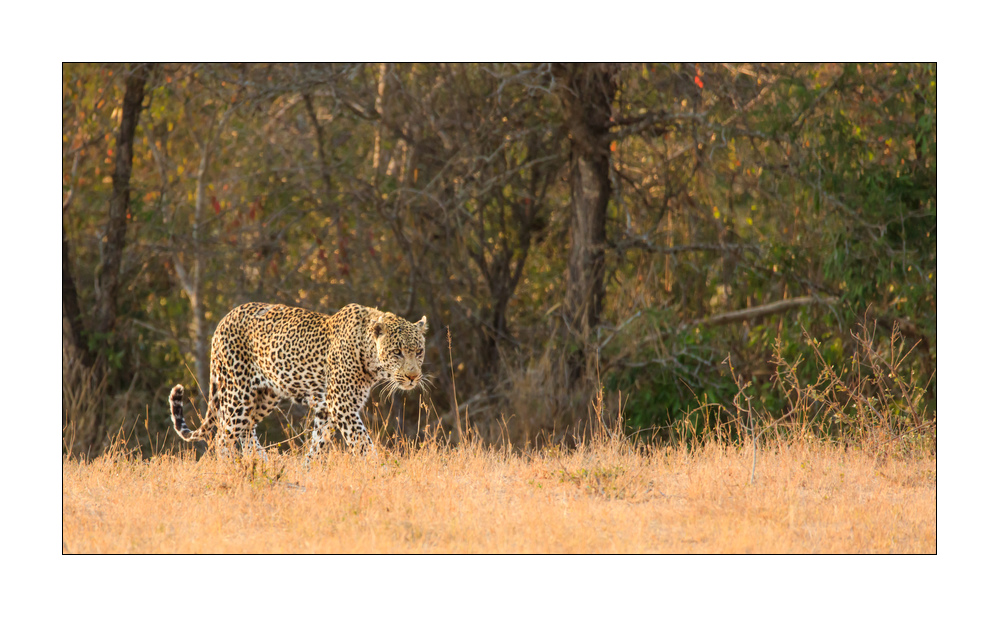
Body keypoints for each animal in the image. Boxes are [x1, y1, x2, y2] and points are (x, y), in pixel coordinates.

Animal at [169, 302, 428, 459]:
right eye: (397, 352)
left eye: (419, 351)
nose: (413, 377)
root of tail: (224, 319)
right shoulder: (342, 406)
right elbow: (363, 444)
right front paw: (381, 472)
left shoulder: (326, 410)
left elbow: (317, 446)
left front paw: (308, 473)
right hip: (238, 394)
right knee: (223, 436)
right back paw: (232, 471)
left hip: (264, 396)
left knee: (246, 431)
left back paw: (262, 464)